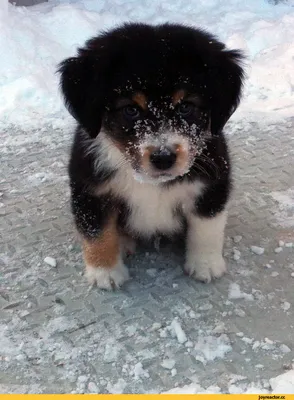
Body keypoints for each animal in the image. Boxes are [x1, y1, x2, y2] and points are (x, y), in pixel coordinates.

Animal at [58, 21, 243, 290]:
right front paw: (105, 273)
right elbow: (97, 232)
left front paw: (206, 265)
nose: (163, 158)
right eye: (131, 110)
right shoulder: (90, 189)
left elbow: (207, 227)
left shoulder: (212, 184)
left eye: (186, 107)